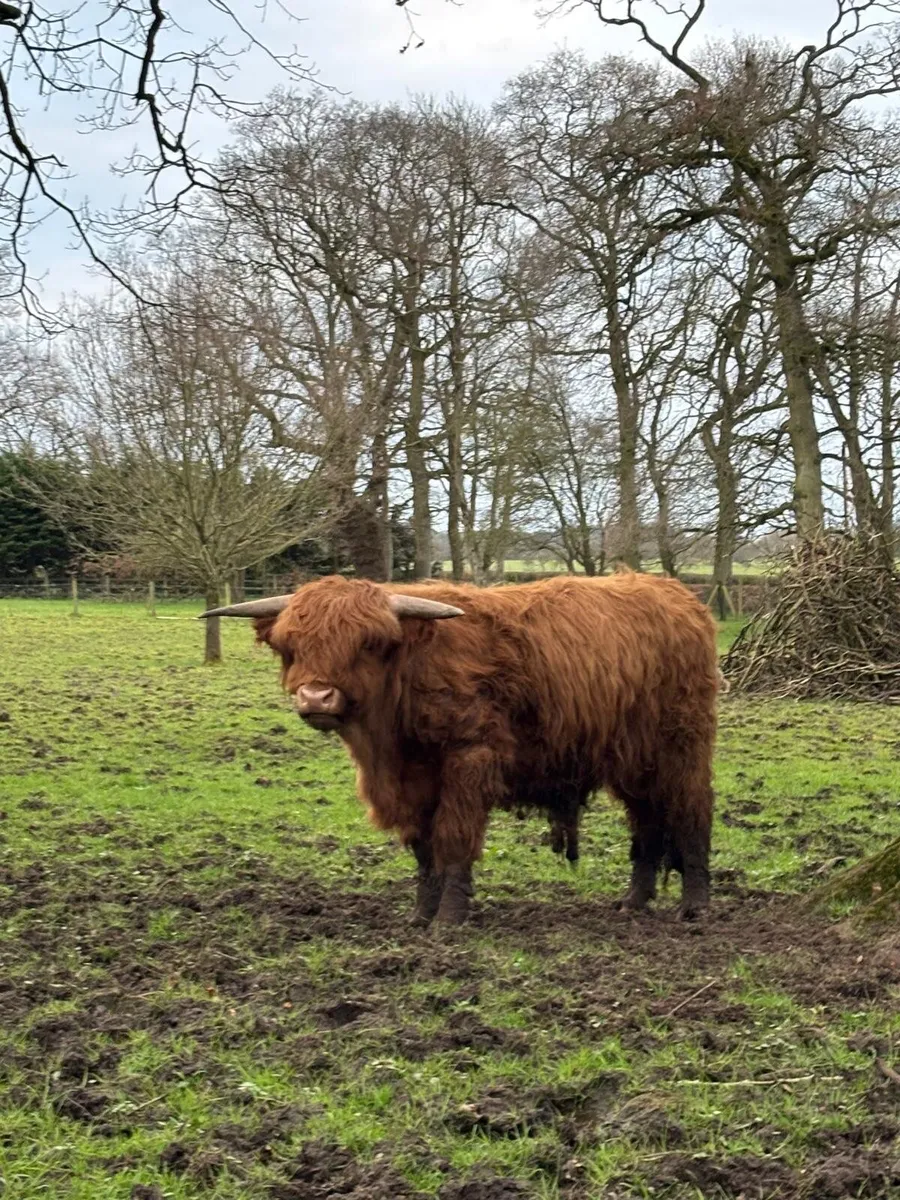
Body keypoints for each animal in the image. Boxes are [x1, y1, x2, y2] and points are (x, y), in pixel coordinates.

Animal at [201, 572, 719, 927]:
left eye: (368, 643)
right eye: (290, 645)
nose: (316, 697)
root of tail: (675, 594)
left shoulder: (469, 760)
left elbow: (452, 838)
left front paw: (449, 918)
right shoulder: (412, 783)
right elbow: (423, 849)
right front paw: (420, 914)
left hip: (681, 746)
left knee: (690, 813)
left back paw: (694, 906)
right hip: (633, 761)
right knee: (647, 822)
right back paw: (633, 901)